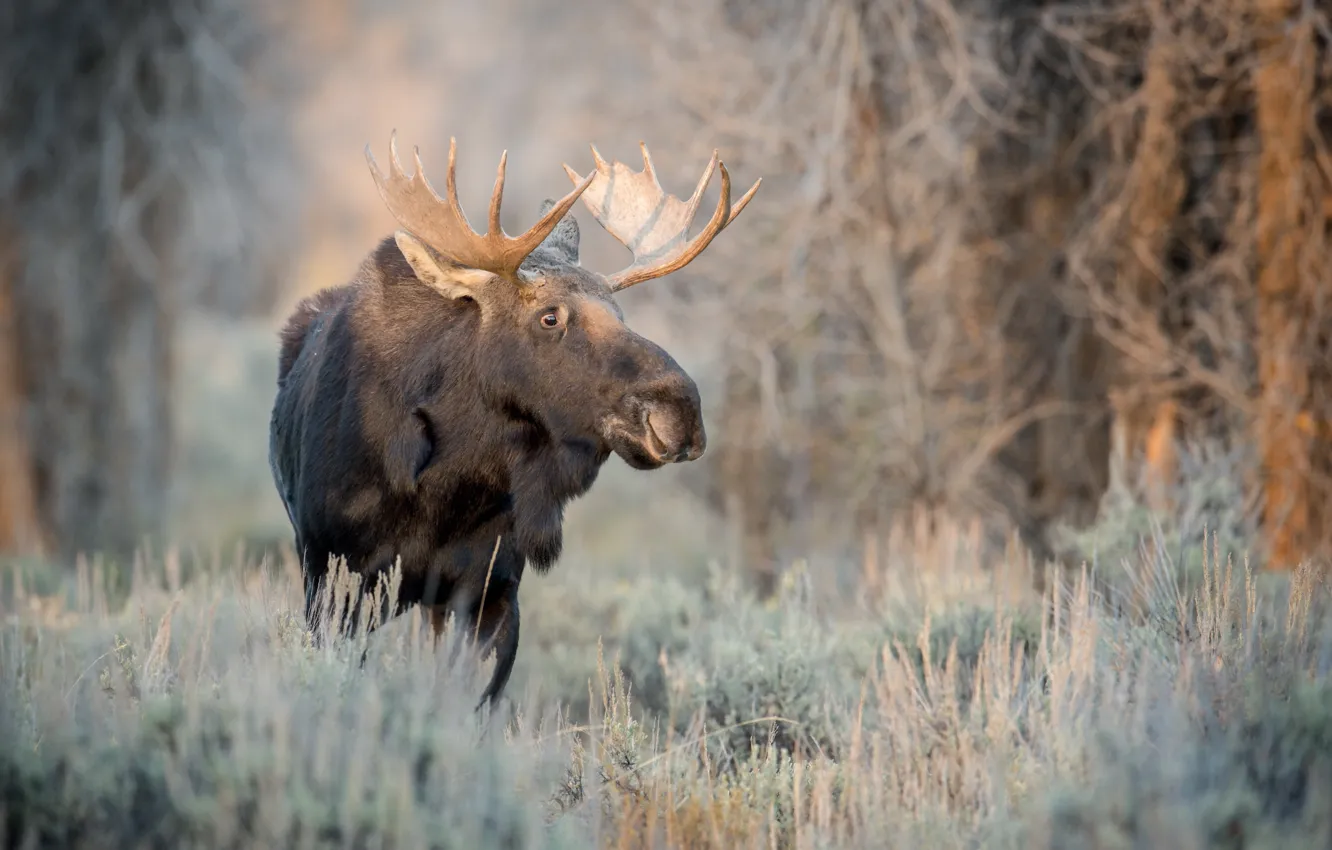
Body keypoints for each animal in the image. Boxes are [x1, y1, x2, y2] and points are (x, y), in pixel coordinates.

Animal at [267, 133, 759, 712]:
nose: (680, 412)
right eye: (550, 317)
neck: (442, 489)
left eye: (621, 316)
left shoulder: (491, 590)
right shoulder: (334, 578)